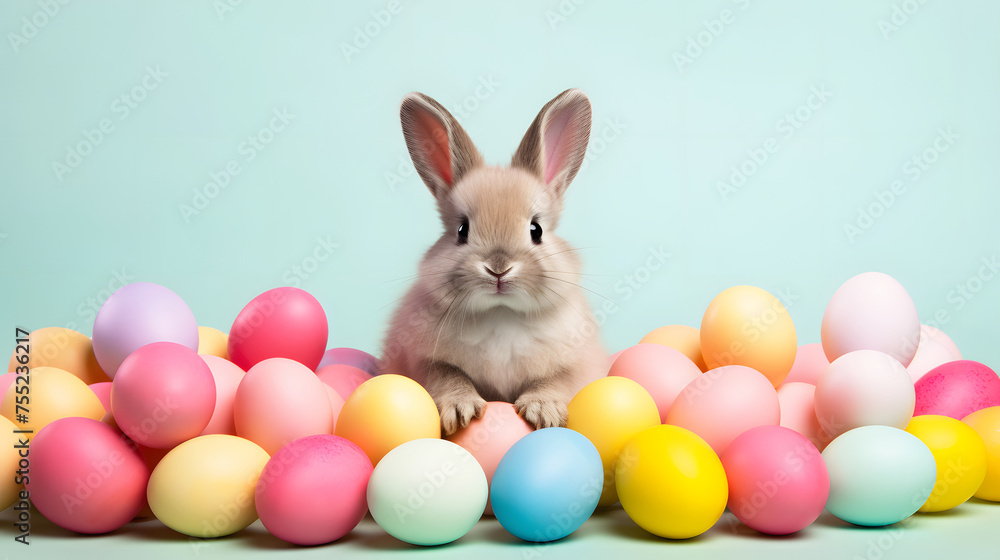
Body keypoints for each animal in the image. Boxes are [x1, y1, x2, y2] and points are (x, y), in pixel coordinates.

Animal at [378, 88, 604, 438]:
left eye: (536, 230)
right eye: (462, 230)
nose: (498, 268)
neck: (501, 313)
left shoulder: (574, 364)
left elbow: (556, 382)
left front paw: (543, 410)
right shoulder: (425, 361)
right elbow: (448, 377)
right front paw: (461, 410)